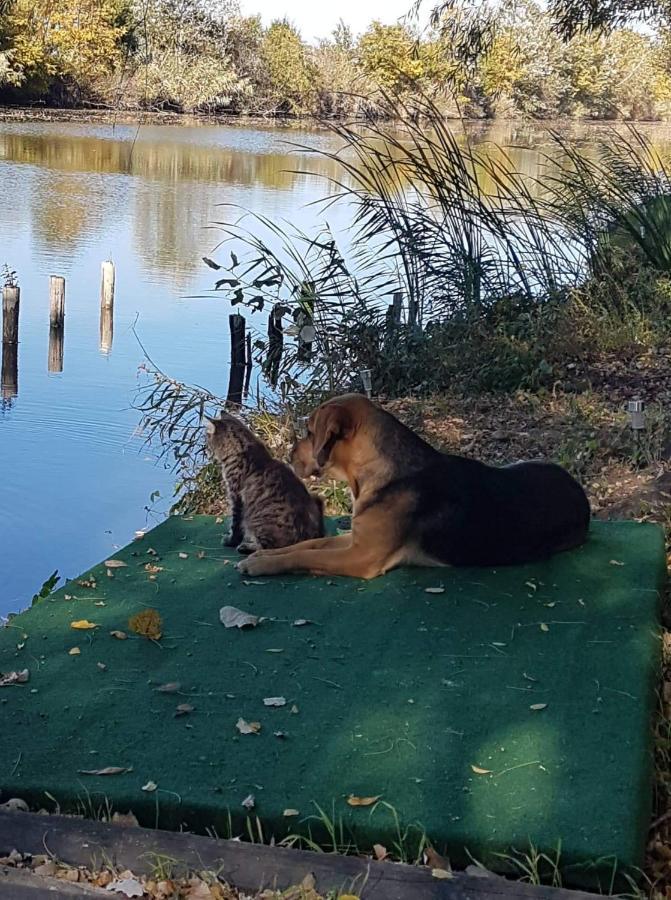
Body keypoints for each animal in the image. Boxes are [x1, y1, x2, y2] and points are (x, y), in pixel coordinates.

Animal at [203, 412, 324, 552]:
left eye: (207, 437)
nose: (206, 449)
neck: (243, 450)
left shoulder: (235, 496)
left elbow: (235, 524)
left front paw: (230, 541)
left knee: (268, 548)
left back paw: (245, 546)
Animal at [238, 392, 592, 576]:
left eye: (310, 432)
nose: (287, 453)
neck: (384, 472)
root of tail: (580, 495)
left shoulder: (361, 557)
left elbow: (307, 556)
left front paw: (264, 564)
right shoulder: (355, 538)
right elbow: (308, 545)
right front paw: (264, 554)